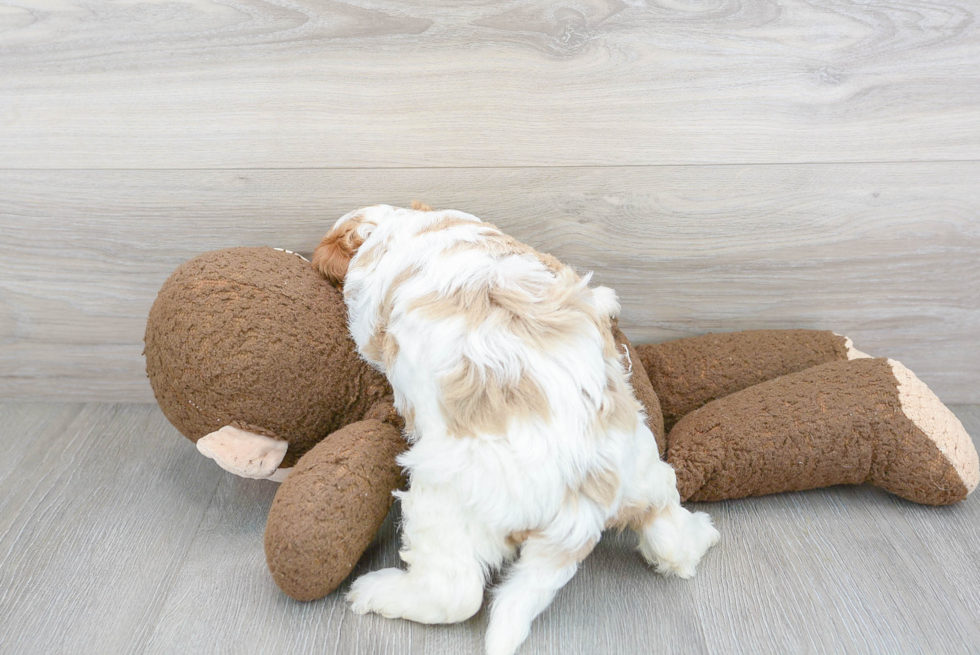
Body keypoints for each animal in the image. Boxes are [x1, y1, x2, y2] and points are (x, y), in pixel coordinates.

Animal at [314, 204, 720, 655]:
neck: (402, 226)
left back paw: (376, 592)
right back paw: (700, 536)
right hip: (645, 473)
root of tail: (584, 494)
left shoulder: (367, 316)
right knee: (668, 528)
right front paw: (608, 301)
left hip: (446, 503)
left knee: (454, 594)